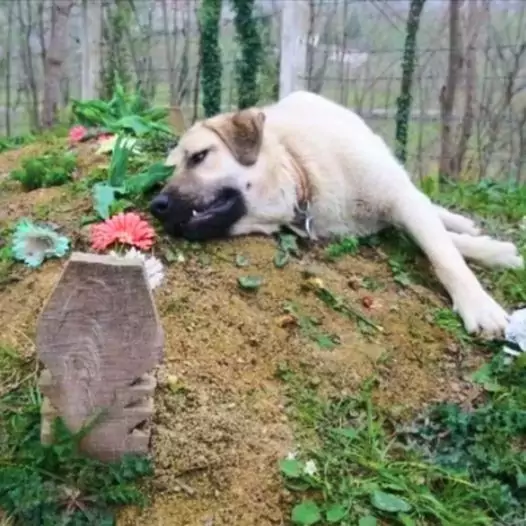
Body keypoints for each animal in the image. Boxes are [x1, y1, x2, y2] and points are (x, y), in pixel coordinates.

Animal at [151, 91, 524, 338]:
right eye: (165, 176)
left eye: (199, 157)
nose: (156, 206)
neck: (301, 170)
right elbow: (440, 243)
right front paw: (494, 252)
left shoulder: (398, 200)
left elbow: (443, 253)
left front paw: (479, 302)